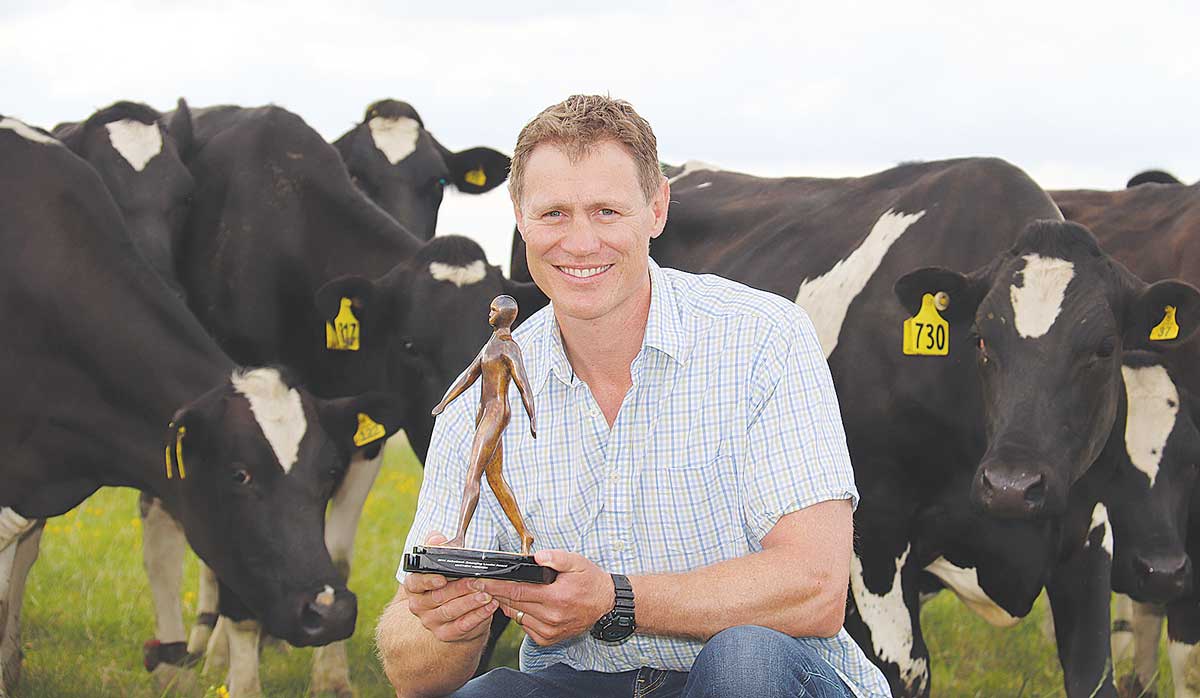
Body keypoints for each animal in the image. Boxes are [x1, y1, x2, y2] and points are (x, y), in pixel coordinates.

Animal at [566, 158, 1195, 698]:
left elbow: (1093, 676)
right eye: (981, 340)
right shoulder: (875, 535)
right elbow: (903, 672)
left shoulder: (1087, 539)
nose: (1013, 486)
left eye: (1104, 348)